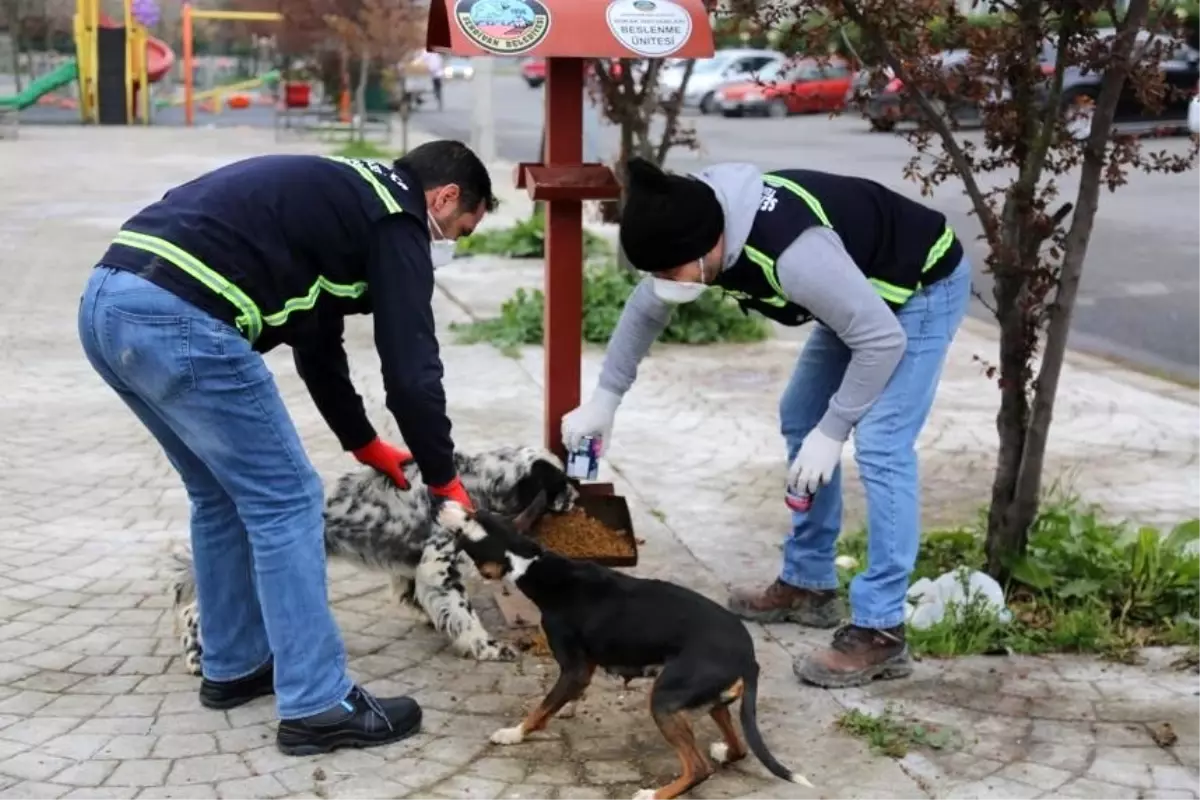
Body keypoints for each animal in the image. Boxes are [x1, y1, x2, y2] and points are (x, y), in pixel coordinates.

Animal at [171, 443, 578, 676]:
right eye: (560, 481)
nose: (577, 494)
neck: (472, 478)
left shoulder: (415, 566)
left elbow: (419, 598)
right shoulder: (439, 565)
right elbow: (464, 615)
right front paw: (489, 648)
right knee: (193, 612)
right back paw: (196, 657)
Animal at [436, 496, 811, 796]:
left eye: (466, 528)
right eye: (476, 512)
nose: (443, 503)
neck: (533, 563)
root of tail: (748, 657)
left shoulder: (574, 669)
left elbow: (541, 709)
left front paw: (514, 734)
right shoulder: (583, 668)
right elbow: (560, 699)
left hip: (665, 701)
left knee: (697, 768)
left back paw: (654, 794)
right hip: (712, 702)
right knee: (739, 748)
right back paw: (723, 752)